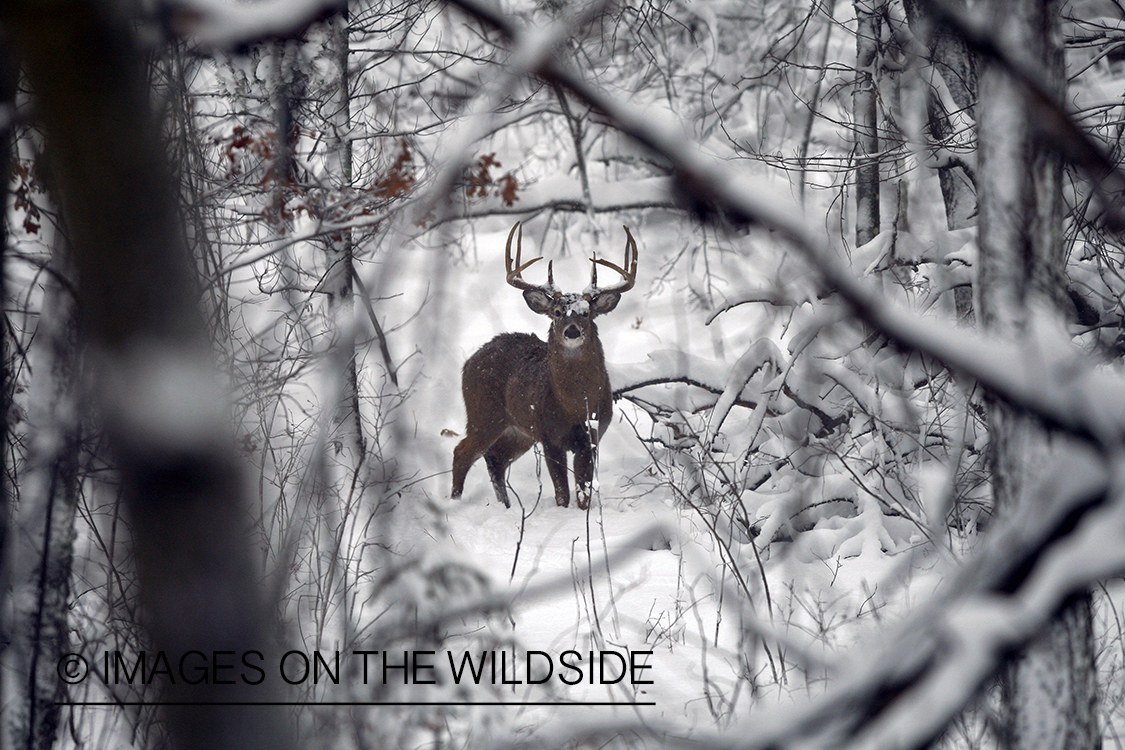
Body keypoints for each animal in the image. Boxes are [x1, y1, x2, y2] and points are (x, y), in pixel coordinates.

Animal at [450, 222, 643, 510]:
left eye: (586, 312)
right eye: (557, 313)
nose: (572, 331)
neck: (575, 405)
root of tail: (469, 363)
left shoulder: (592, 436)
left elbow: (584, 494)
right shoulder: (549, 436)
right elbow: (562, 493)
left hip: (519, 430)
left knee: (495, 456)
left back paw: (506, 506)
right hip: (483, 413)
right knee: (462, 451)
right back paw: (454, 502)